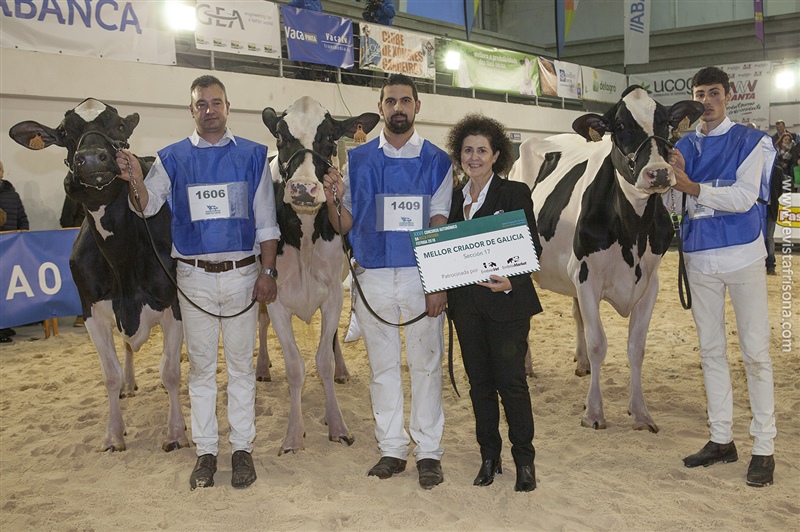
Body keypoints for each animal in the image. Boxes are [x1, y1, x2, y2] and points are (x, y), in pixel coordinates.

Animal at [9, 97, 188, 450]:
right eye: (64, 132)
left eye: (118, 125)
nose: (91, 158)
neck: (122, 261)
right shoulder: (91, 309)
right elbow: (110, 373)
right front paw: (114, 434)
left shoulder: (173, 305)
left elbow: (170, 372)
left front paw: (176, 433)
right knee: (128, 350)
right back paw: (129, 386)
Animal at [260, 95, 378, 454]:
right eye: (281, 136)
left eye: (329, 137)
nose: (303, 188)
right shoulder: (274, 297)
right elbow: (295, 366)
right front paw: (293, 434)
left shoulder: (333, 295)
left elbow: (323, 359)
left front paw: (337, 423)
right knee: (261, 325)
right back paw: (261, 367)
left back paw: (341, 371)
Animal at [510, 87, 704, 434]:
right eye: (620, 127)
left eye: (666, 122)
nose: (659, 172)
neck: (633, 229)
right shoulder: (587, 277)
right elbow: (599, 342)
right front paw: (594, 412)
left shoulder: (649, 284)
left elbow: (636, 348)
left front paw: (640, 413)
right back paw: (528, 367)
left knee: (577, 316)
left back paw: (582, 363)